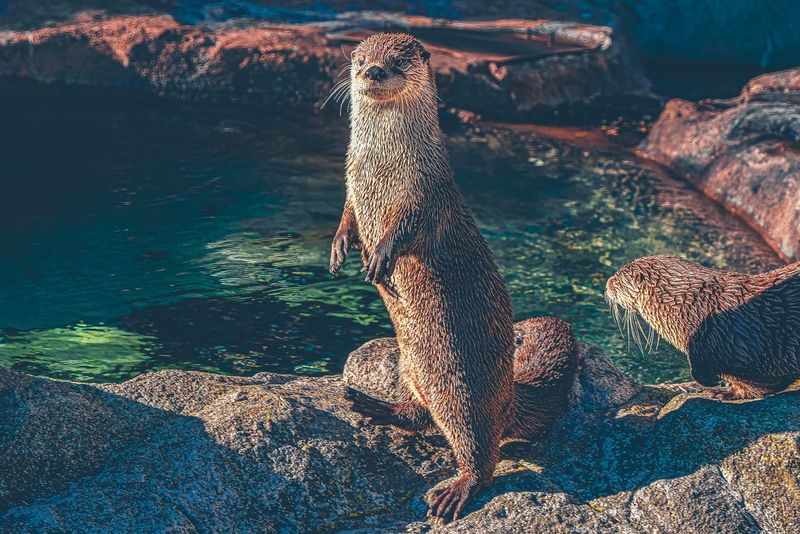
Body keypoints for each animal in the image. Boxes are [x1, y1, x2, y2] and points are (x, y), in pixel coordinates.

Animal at [326, 32, 576, 524]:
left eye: (396, 60)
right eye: (360, 59)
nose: (372, 72)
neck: (379, 168)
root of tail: (509, 397)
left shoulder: (424, 193)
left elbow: (405, 227)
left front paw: (380, 255)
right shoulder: (350, 181)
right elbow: (346, 212)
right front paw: (340, 245)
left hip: (458, 385)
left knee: (481, 450)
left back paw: (454, 492)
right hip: (410, 365)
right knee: (420, 415)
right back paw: (373, 406)